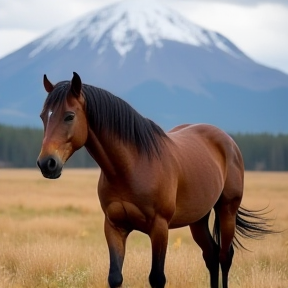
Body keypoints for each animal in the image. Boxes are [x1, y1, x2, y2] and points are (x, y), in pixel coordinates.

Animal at [37, 72, 274, 288]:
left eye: (69, 116)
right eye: (42, 116)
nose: (47, 163)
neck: (131, 167)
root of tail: (228, 141)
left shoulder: (159, 228)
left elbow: (157, 278)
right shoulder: (114, 226)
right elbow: (115, 277)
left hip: (227, 210)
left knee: (224, 257)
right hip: (198, 219)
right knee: (211, 255)